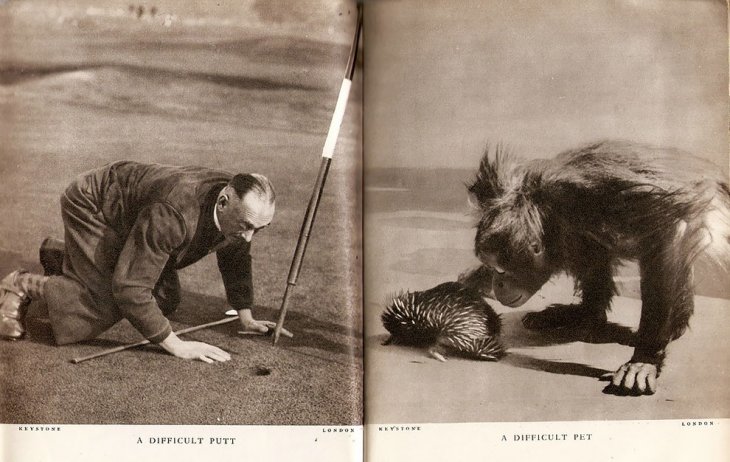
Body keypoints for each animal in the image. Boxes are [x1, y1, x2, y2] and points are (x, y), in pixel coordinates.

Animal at [466, 139, 728, 396]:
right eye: (491, 269)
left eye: (500, 270)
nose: (497, 284)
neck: (547, 211)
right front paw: (586, 313)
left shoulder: (599, 195)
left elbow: (668, 230)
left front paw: (645, 357)